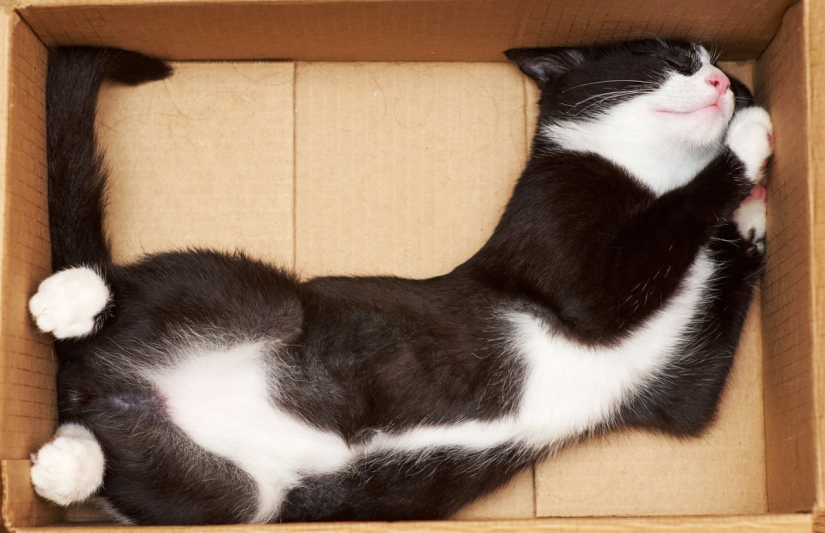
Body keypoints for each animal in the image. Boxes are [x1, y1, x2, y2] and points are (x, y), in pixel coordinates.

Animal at [29, 41, 768, 524]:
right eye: (673, 58)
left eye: (717, 66)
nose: (725, 82)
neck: (649, 174)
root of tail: (107, 383)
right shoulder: (565, 256)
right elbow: (664, 229)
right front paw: (751, 138)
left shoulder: (674, 391)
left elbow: (713, 318)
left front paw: (752, 214)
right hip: (265, 298)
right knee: (156, 295)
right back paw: (71, 299)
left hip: (230, 495)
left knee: (135, 464)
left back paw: (67, 463)